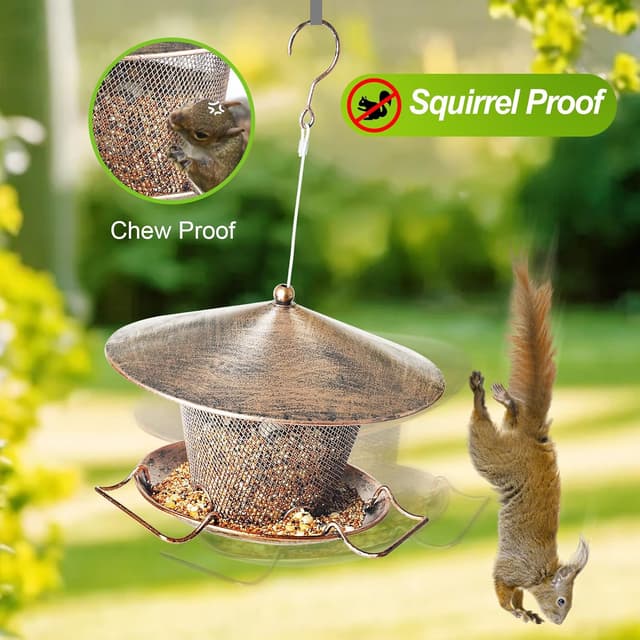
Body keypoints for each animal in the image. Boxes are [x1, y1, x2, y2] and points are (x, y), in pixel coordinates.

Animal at [468, 262, 589, 625]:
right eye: (563, 600)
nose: (561, 622)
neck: (543, 573)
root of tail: (535, 438)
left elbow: (514, 595)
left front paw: (525, 613)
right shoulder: (514, 570)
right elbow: (502, 591)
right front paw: (516, 611)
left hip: (507, 444)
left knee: (512, 417)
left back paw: (507, 401)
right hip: (498, 456)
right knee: (481, 428)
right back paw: (481, 396)